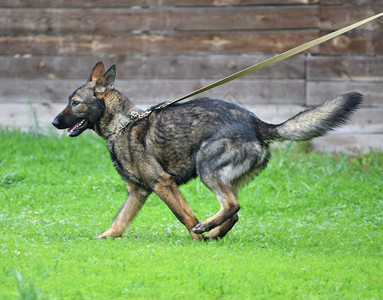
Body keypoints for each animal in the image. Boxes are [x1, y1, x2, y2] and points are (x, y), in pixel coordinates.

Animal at [51, 62, 364, 240]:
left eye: (75, 103)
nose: (54, 122)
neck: (123, 123)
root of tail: (258, 124)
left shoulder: (162, 184)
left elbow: (185, 216)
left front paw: (195, 238)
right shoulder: (137, 192)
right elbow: (119, 221)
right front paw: (104, 238)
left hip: (207, 167)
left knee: (231, 206)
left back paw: (206, 230)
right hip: (225, 177)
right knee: (233, 213)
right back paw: (215, 234)